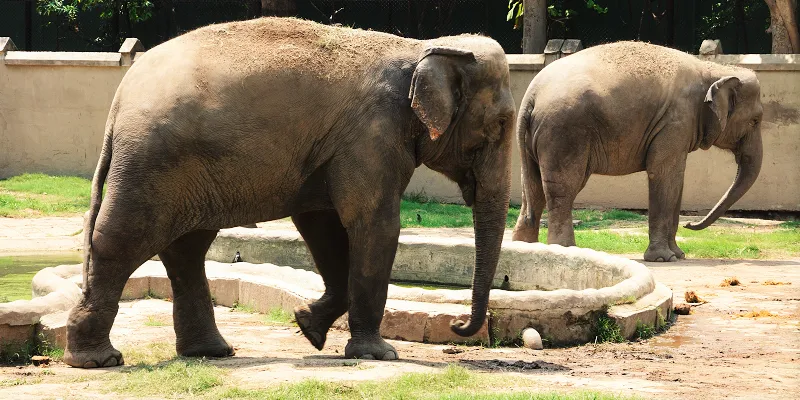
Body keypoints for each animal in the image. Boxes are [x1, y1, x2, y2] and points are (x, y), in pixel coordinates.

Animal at [61, 18, 512, 368]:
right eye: (500, 125)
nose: (457, 324)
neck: (423, 48)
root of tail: (120, 99)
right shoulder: (372, 135)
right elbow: (372, 222)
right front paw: (377, 354)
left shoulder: (339, 147)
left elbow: (321, 224)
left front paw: (307, 325)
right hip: (152, 162)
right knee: (122, 240)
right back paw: (98, 360)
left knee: (186, 248)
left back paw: (210, 352)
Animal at [512, 41, 764, 262]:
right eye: (755, 120)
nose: (689, 224)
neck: (714, 69)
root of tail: (531, 95)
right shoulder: (675, 121)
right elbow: (664, 174)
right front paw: (664, 258)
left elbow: (677, 180)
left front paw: (678, 255)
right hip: (564, 132)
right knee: (563, 189)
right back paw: (566, 250)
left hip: (536, 139)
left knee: (533, 189)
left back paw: (524, 247)